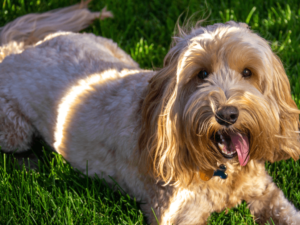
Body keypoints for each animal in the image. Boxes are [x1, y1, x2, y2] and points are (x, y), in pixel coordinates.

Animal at [0, 2, 300, 225]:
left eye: (247, 72)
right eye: (202, 74)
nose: (226, 114)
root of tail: (19, 50)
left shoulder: (265, 191)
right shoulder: (178, 214)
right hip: (14, 129)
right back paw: (30, 164)